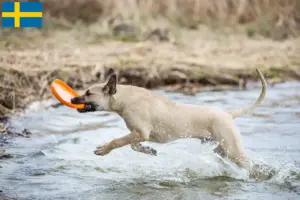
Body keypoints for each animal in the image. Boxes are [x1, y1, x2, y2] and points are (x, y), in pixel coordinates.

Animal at [72, 68, 268, 168]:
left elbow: (117, 141)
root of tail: (228, 114)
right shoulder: (138, 134)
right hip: (222, 150)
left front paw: (104, 149)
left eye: (88, 93)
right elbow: (134, 145)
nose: (72, 100)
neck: (125, 99)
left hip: (233, 151)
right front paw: (147, 150)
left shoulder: (140, 132)